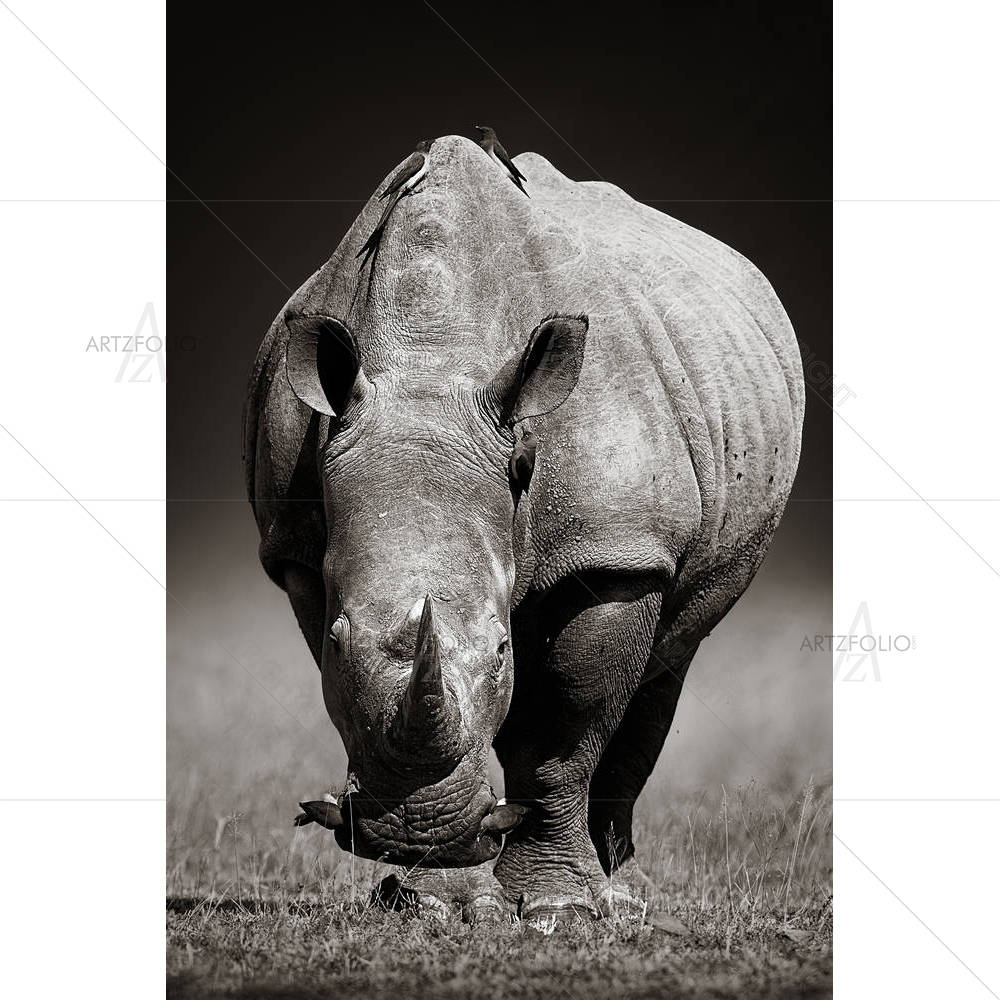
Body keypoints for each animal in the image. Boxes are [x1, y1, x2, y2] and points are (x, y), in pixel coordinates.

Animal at [243, 135, 804, 921]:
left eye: (503, 647)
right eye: (337, 638)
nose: (417, 830)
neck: (430, 362)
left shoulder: (612, 552)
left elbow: (561, 733)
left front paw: (554, 910)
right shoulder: (296, 553)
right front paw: (434, 899)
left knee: (670, 658)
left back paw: (615, 888)